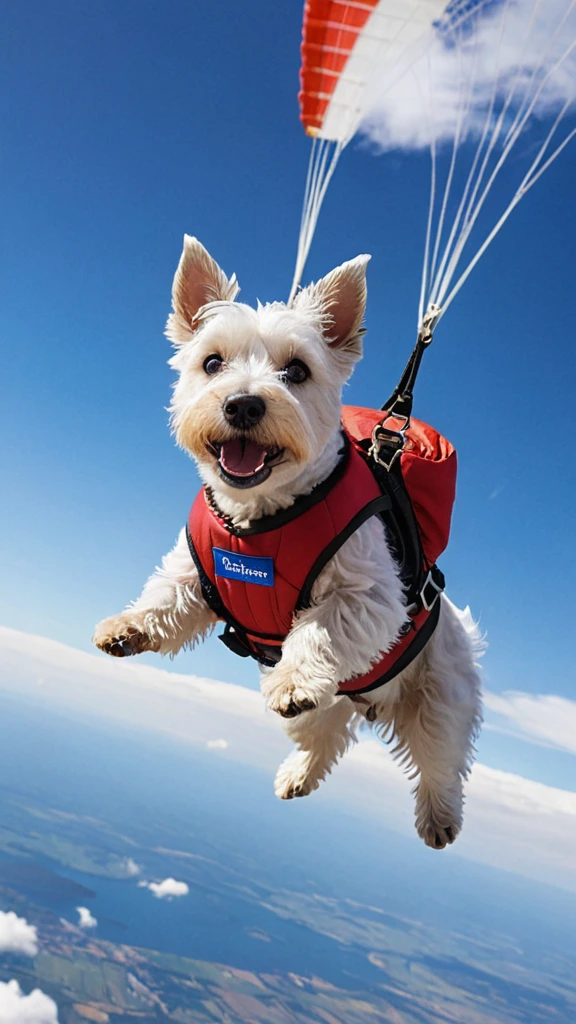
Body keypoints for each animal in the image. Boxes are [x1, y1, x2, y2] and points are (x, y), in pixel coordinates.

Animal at [93, 234, 479, 847]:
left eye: (296, 370)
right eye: (212, 362)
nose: (243, 404)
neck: (259, 518)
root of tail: (370, 699)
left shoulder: (369, 596)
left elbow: (322, 626)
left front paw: (296, 675)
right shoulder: (198, 573)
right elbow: (168, 596)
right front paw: (129, 627)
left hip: (440, 694)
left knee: (440, 757)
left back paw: (439, 816)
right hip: (330, 705)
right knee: (324, 731)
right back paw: (298, 774)